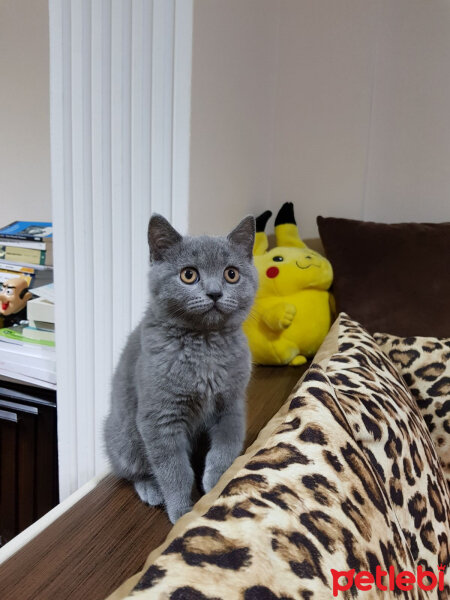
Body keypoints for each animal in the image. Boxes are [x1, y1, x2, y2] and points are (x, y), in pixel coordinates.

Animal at [103, 213, 256, 524]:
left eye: (231, 274)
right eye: (189, 275)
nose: (214, 293)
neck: (205, 346)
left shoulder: (231, 406)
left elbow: (224, 450)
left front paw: (215, 487)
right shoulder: (160, 418)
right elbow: (174, 470)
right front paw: (181, 512)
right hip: (125, 437)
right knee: (133, 471)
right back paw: (150, 489)